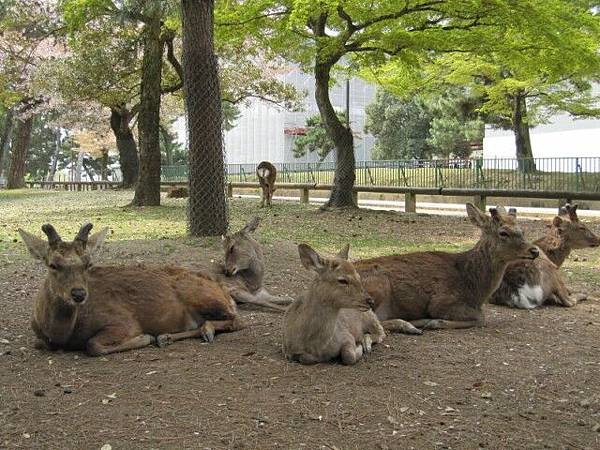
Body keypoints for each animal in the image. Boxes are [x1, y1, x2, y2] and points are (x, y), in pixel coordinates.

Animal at [19, 223, 244, 356]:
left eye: (88, 263)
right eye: (52, 264)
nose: (79, 294)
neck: (61, 334)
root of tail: (223, 290)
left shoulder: (123, 321)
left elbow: (93, 345)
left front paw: (144, 337)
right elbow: (39, 344)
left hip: (201, 296)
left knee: (238, 320)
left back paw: (204, 330)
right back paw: (166, 337)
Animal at [354, 204, 540, 334]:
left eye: (522, 230)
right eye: (503, 232)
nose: (535, 251)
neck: (475, 290)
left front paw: (430, 321)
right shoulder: (441, 301)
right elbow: (481, 317)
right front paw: (435, 322)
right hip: (378, 284)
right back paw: (410, 326)